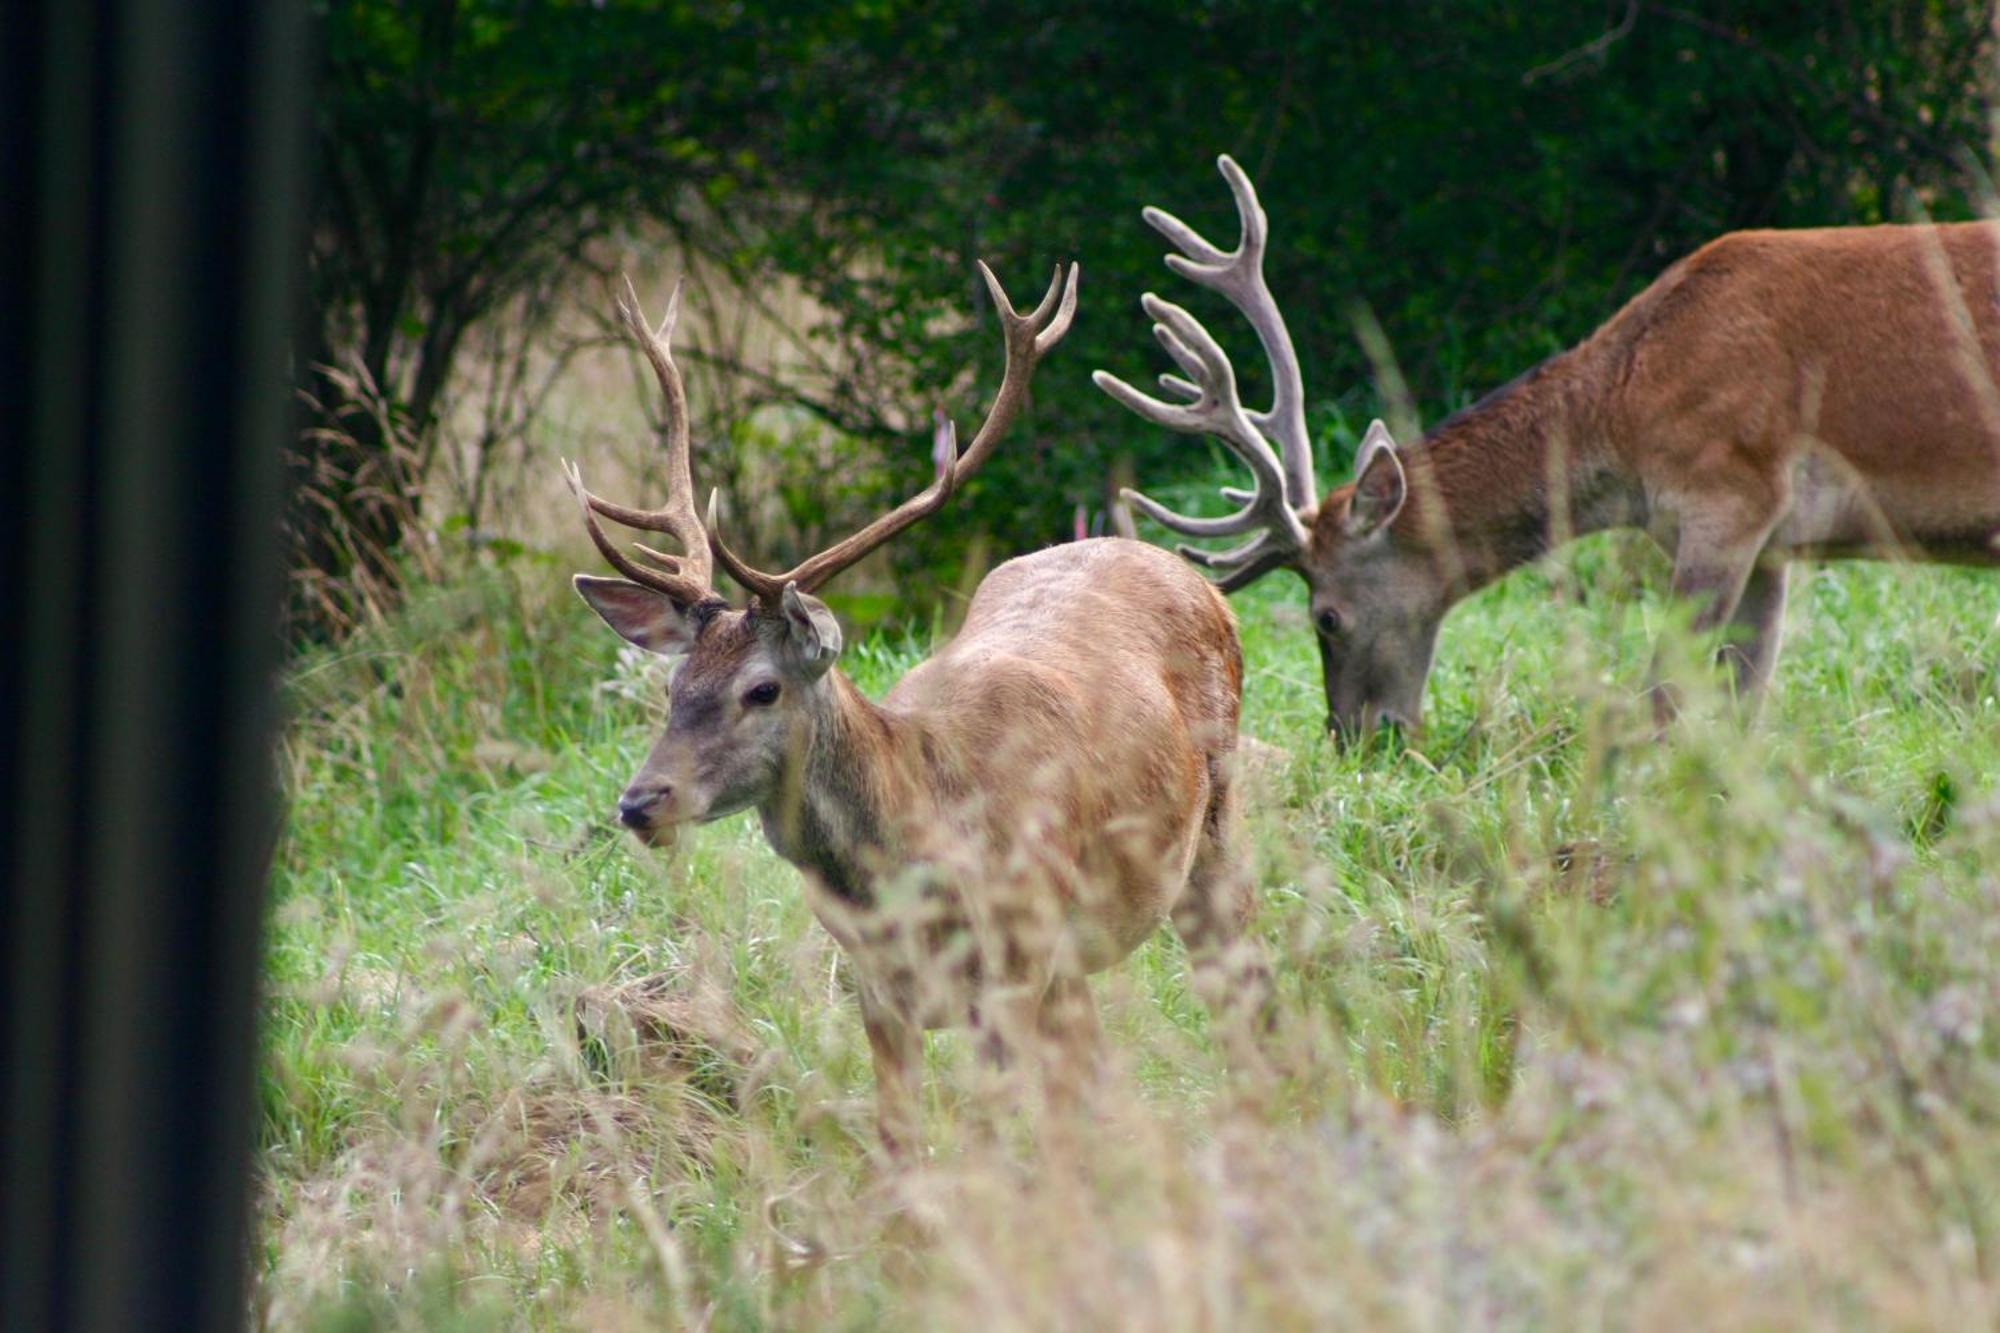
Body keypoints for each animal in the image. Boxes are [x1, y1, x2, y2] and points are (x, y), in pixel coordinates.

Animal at [564, 262, 1264, 1152]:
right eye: (670, 685)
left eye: (762, 687)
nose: (639, 802)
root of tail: (1192, 574)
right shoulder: (879, 988)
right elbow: (904, 1138)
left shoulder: (1022, 959)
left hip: (1210, 827)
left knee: (1237, 981)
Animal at [1096, 158, 2000, 736]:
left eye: (1326, 616)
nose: (1355, 735)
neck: (1628, 411)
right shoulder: (1774, 544)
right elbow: (1741, 705)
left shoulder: (1728, 490)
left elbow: (1663, 698)